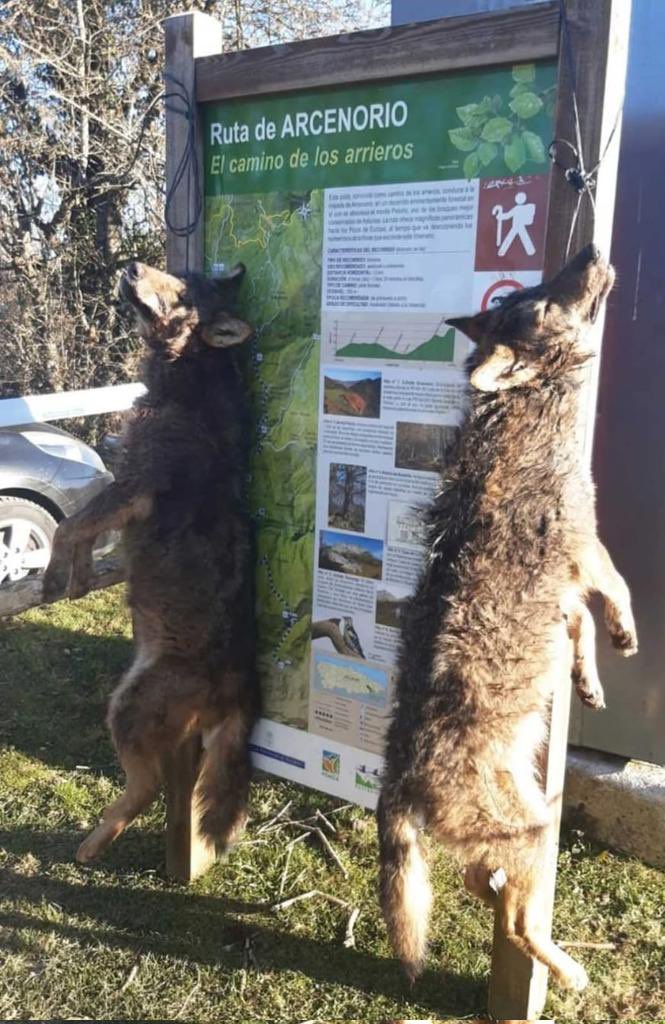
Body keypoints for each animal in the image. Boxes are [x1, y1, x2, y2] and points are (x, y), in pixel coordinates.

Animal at [42, 261, 259, 864]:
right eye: (183, 272)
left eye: (183, 292)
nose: (133, 266)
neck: (187, 384)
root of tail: (241, 691)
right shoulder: (118, 489)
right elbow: (82, 532)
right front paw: (79, 577)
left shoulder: (131, 490)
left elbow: (68, 526)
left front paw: (54, 577)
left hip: (127, 708)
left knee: (148, 787)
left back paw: (90, 845)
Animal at [378, 245, 637, 992]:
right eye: (543, 302)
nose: (589, 251)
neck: (526, 406)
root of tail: (396, 771)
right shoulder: (585, 545)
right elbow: (618, 590)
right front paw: (627, 634)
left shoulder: (565, 586)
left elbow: (579, 629)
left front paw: (589, 680)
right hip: (534, 833)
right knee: (518, 922)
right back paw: (569, 972)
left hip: (519, 830)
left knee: (478, 886)